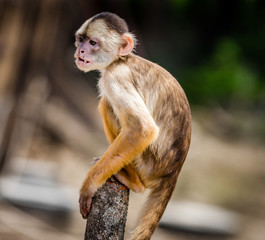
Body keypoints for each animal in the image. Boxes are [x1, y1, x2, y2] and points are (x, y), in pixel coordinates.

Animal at [73, 11, 190, 240]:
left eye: (93, 43)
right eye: (80, 39)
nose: (80, 50)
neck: (121, 60)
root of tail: (174, 172)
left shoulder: (116, 77)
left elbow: (143, 129)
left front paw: (90, 185)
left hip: (148, 166)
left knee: (109, 105)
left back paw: (133, 181)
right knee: (107, 104)